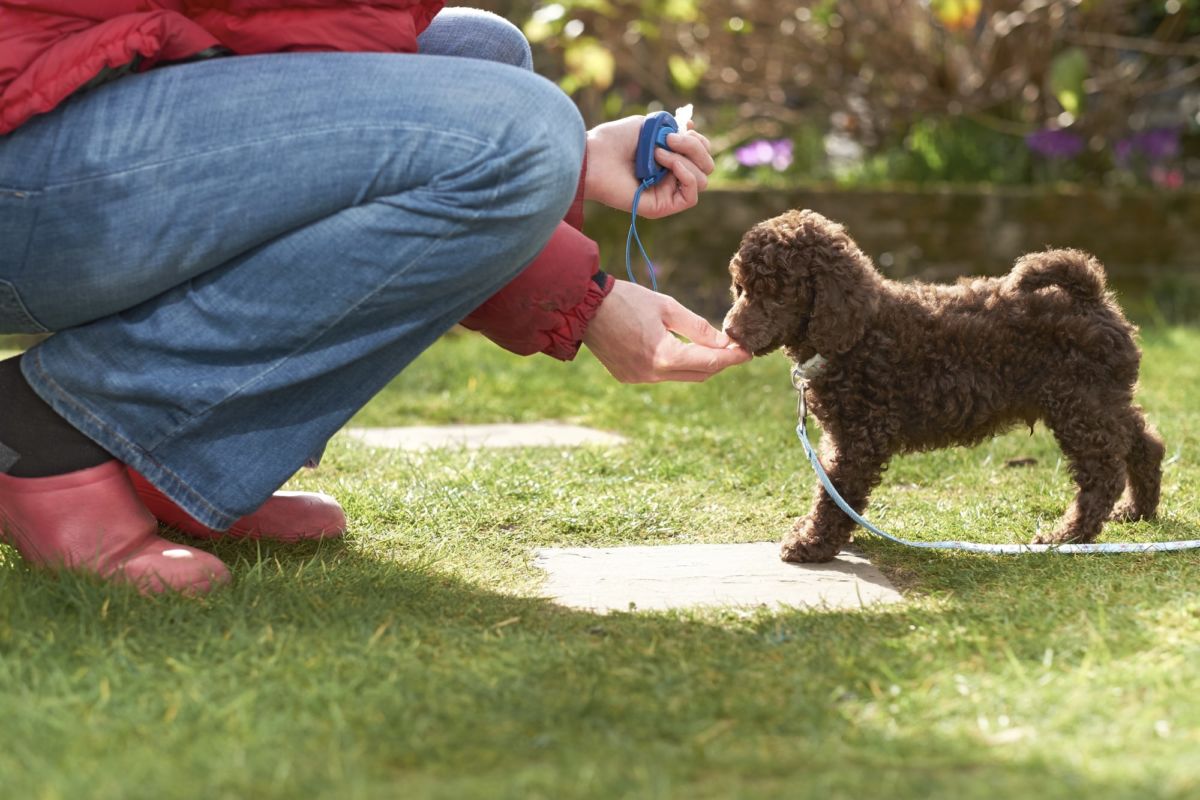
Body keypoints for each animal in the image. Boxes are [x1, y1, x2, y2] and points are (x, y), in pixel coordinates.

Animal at [720, 209, 1161, 566]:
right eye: (741, 288)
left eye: (776, 295)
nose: (729, 331)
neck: (859, 332)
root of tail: (1091, 296)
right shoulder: (843, 435)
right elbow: (833, 489)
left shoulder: (860, 436)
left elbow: (835, 493)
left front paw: (812, 544)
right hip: (1101, 400)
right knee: (1144, 442)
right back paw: (1137, 510)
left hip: (1079, 404)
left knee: (1102, 472)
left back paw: (1067, 535)